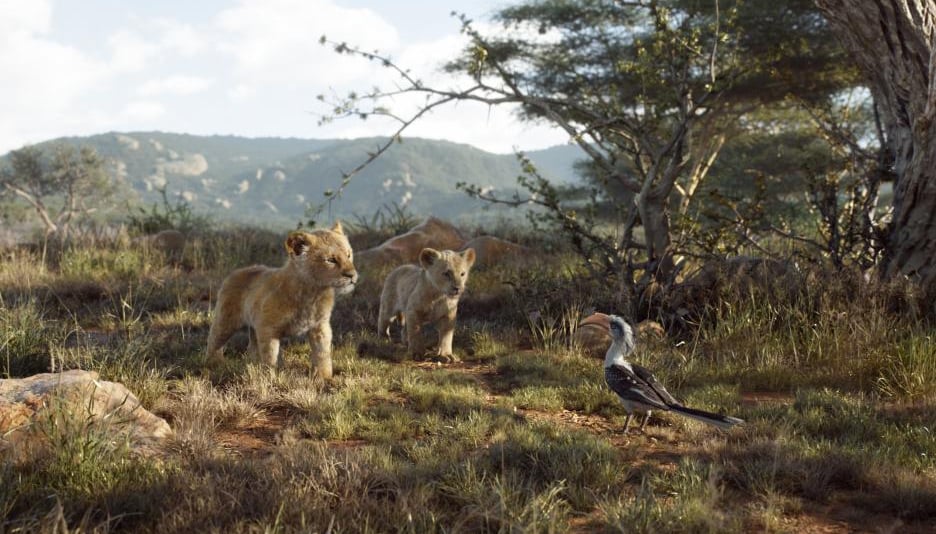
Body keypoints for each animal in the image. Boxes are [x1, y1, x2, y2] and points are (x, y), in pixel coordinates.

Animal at [206, 222, 357, 378]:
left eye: (349, 255)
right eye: (330, 260)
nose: (352, 275)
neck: (313, 294)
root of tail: (236, 272)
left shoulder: (320, 326)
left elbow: (322, 354)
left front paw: (324, 378)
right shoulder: (267, 328)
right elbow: (270, 357)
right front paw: (269, 377)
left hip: (253, 326)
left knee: (252, 347)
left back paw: (251, 365)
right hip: (226, 321)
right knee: (213, 340)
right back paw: (213, 364)